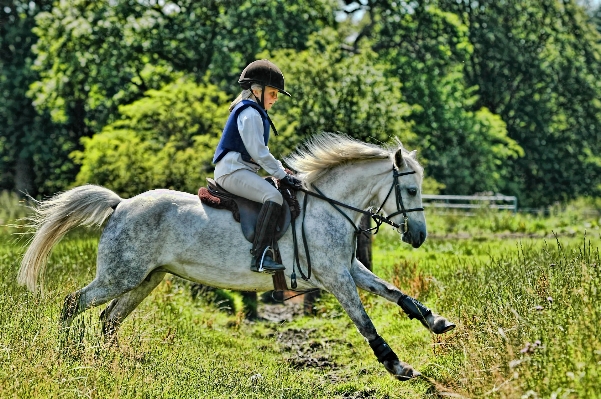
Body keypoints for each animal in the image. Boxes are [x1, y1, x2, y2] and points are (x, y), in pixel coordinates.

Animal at [16, 134, 452, 382]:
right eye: (411, 190)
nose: (418, 237)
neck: (328, 206)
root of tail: (120, 205)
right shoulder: (336, 278)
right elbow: (365, 322)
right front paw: (398, 367)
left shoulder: (349, 269)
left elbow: (394, 292)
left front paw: (436, 322)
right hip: (120, 276)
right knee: (73, 303)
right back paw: (64, 355)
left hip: (145, 278)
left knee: (109, 319)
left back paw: (115, 363)